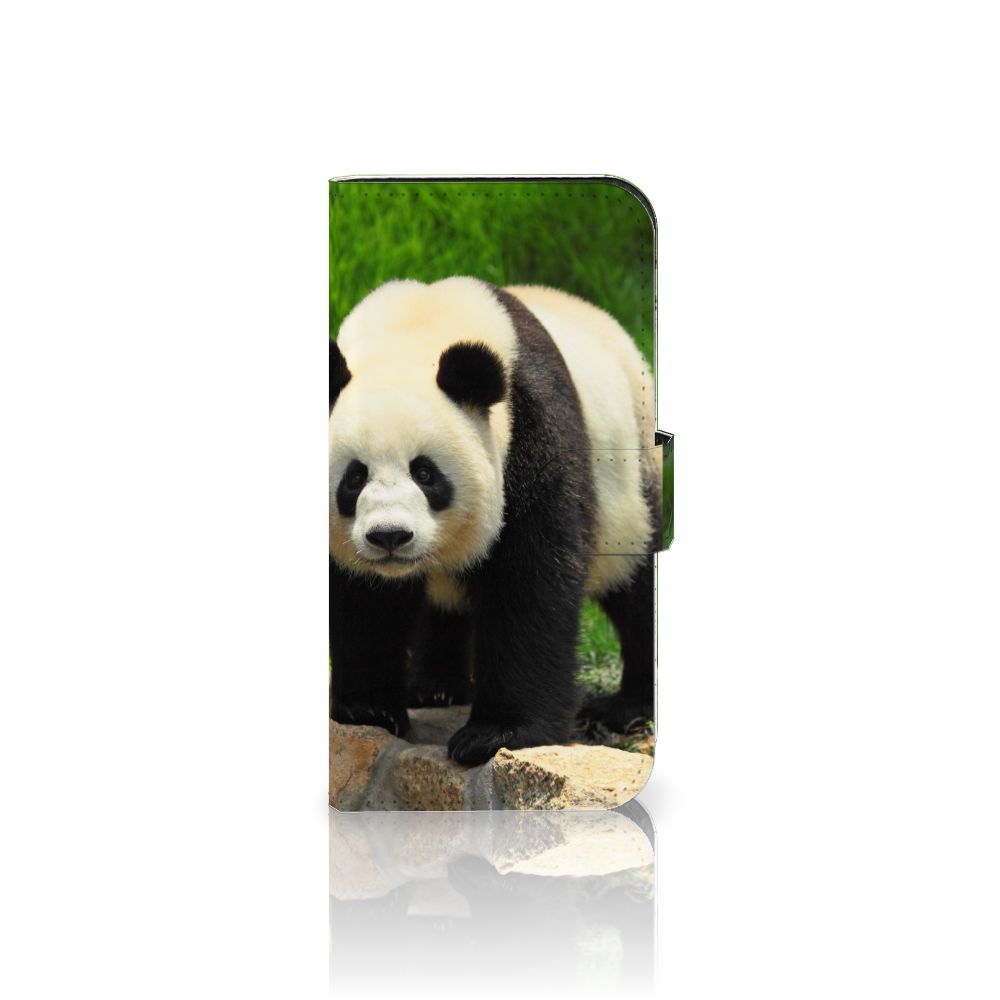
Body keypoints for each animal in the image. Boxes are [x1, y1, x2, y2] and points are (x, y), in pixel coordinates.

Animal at [329, 277, 659, 766]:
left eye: (425, 473)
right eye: (354, 477)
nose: (390, 536)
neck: (414, 331)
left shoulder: (531, 428)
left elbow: (530, 581)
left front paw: (498, 734)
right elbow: (364, 599)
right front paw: (367, 708)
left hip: (631, 481)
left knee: (634, 585)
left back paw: (627, 707)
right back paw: (435, 687)